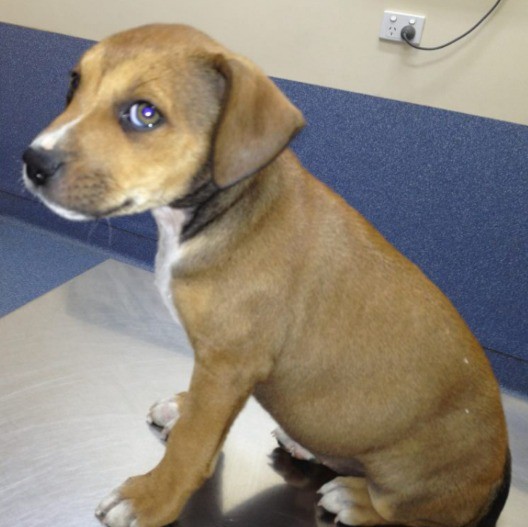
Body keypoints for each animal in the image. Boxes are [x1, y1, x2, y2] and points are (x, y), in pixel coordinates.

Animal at [22, 24, 510, 527]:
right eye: (74, 86)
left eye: (145, 114)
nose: (32, 163)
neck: (220, 211)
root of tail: (495, 478)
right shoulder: (219, 369)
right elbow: (201, 422)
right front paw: (182, 409)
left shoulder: (228, 365)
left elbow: (191, 447)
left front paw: (150, 498)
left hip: (411, 479)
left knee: (404, 513)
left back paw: (354, 499)